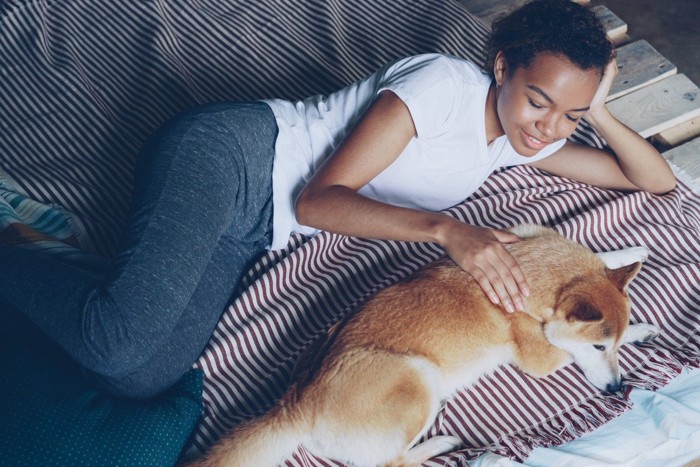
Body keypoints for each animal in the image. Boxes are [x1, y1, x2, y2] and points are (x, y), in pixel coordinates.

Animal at [193, 225, 660, 466]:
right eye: (599, 349)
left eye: (611, 346)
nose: (618, 388)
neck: (531, 272)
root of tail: (295, 403)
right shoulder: (540, 358)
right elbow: (560, 350)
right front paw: (640, 330)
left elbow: (597, 256)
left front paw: (629, 253)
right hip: (418, 378)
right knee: (392, 462)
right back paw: (443, 445)